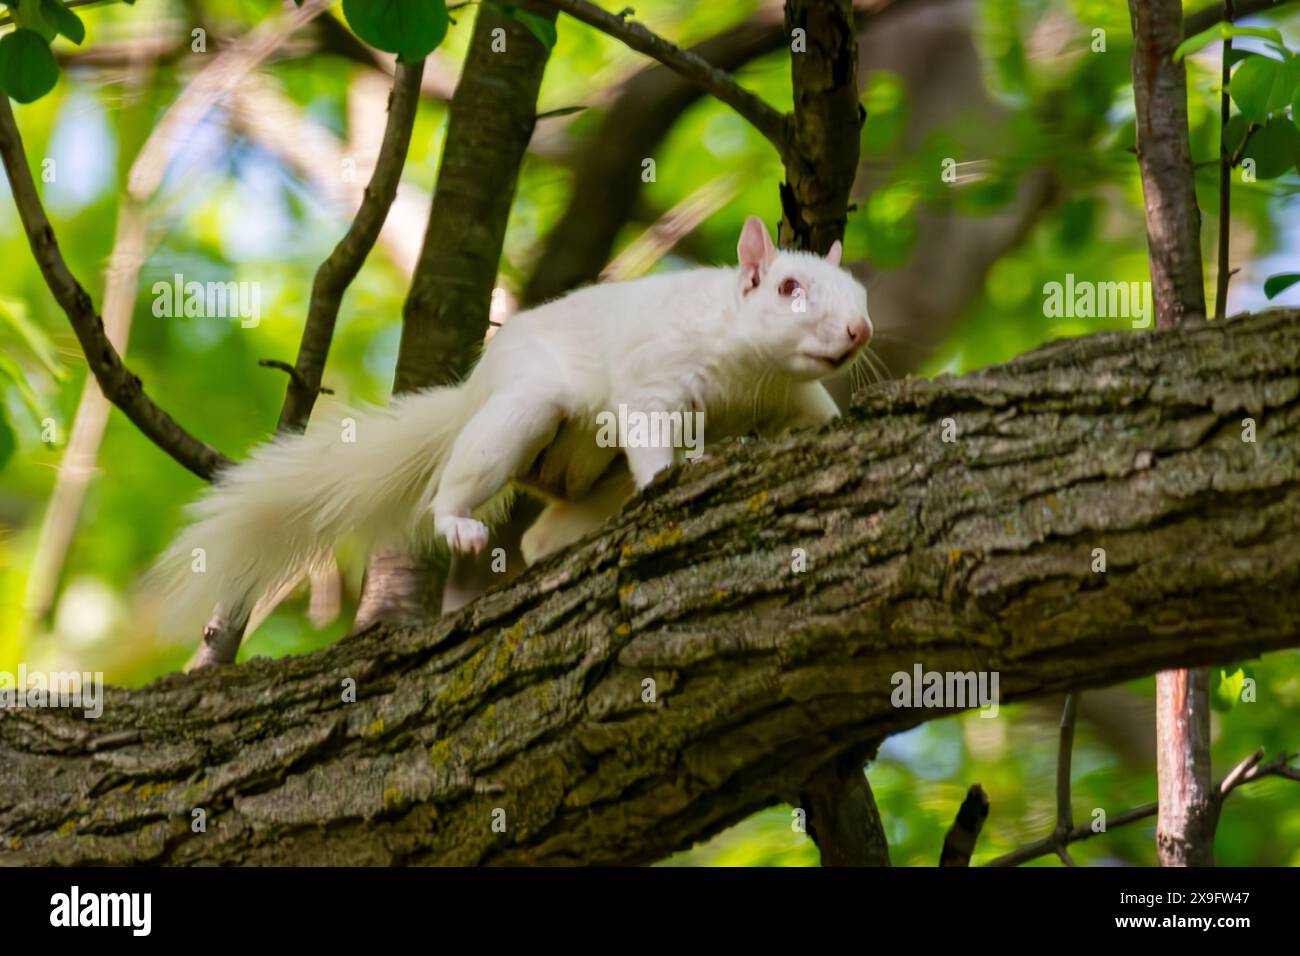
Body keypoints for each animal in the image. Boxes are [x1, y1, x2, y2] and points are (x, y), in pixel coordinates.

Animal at [153, 216, 871, 634]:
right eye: (787, 288)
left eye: (862, 294)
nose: (860, 330)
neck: (751, 376)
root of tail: (475, 391)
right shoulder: (655, 373)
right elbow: (649, 433)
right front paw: (672, 474)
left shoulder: (794, 399)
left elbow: (819, 417)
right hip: (524, 411)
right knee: (456, 484)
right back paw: (459, 523)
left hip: (591, 482)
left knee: (543, 535)